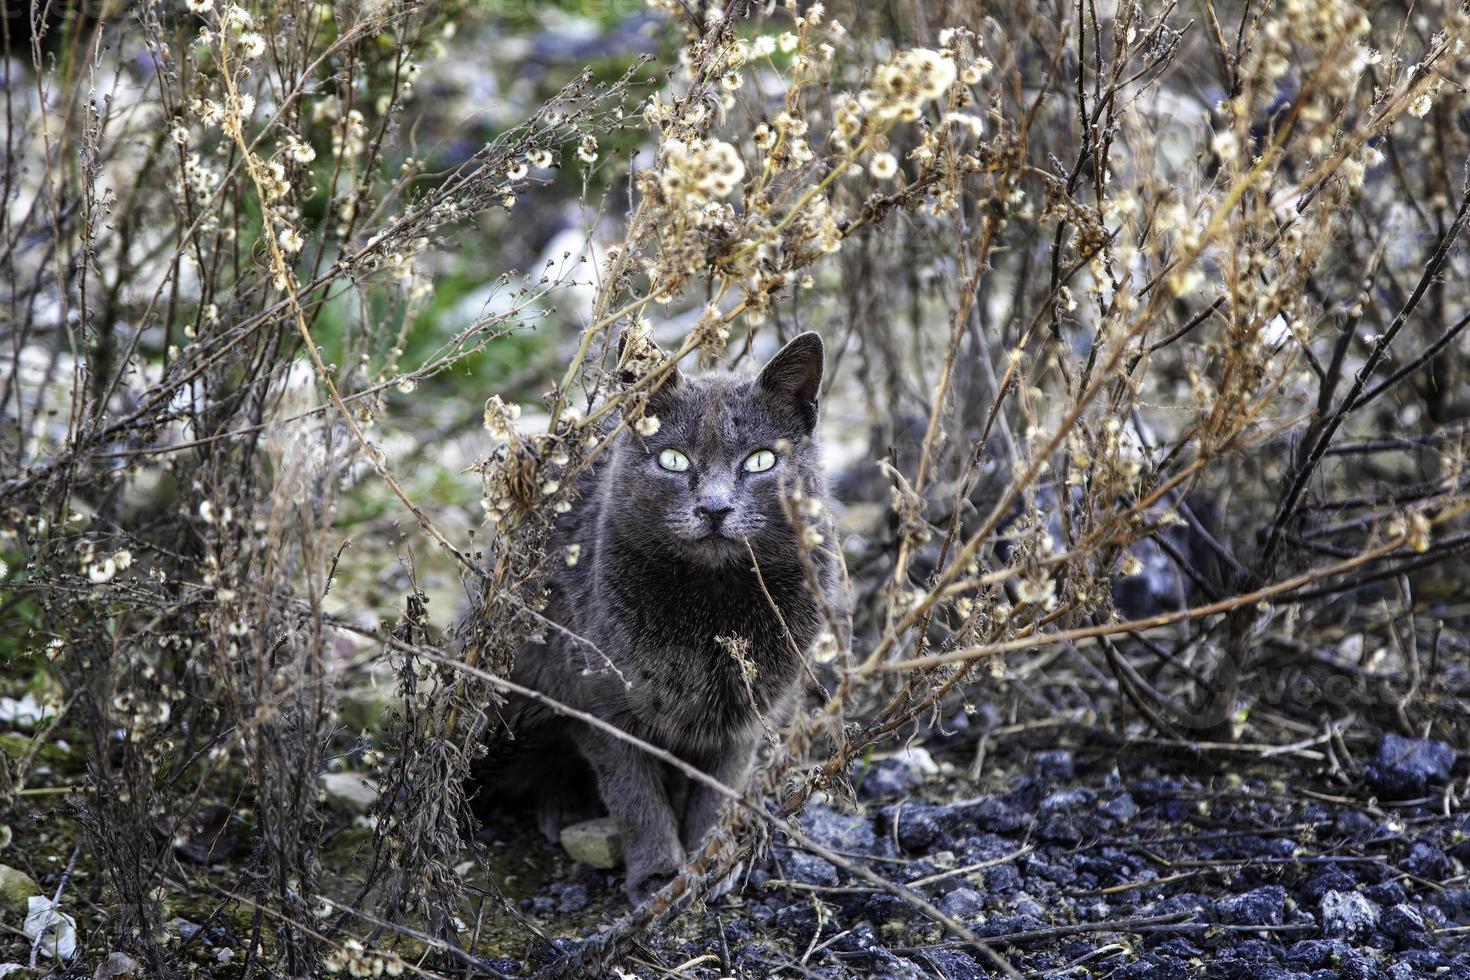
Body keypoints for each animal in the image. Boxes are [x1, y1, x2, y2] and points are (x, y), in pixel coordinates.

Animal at [470, 334, 840, 905]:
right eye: (672, 459)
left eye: (760, 460)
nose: (714, 508)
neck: (713, 609)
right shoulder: (602, 700)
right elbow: (635, 795)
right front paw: (660, 876)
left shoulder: (748, 710)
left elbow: (721, 784)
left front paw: (709, 860)